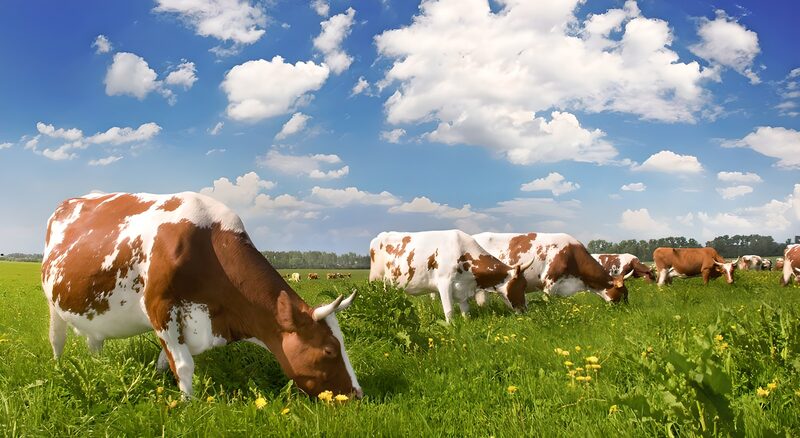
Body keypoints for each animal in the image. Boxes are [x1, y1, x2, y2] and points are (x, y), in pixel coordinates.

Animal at [41, 192, 361, 399]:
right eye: (329, 350)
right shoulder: (160, 308)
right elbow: (183, 365)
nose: (357, 395)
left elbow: (166, 361)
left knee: (94, 341)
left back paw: (98, 366)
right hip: (52, 303)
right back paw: (58, 368)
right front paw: (188, 405)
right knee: (57, 339)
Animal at [369, 230, 530, 322]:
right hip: (377, 281)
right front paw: (451, 328)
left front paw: (466, 323)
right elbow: (449, 310)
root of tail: (380, 236)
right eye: (520, 286)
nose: (524, 309)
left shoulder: (463, 288)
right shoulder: (444, 283)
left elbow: (466, 311)